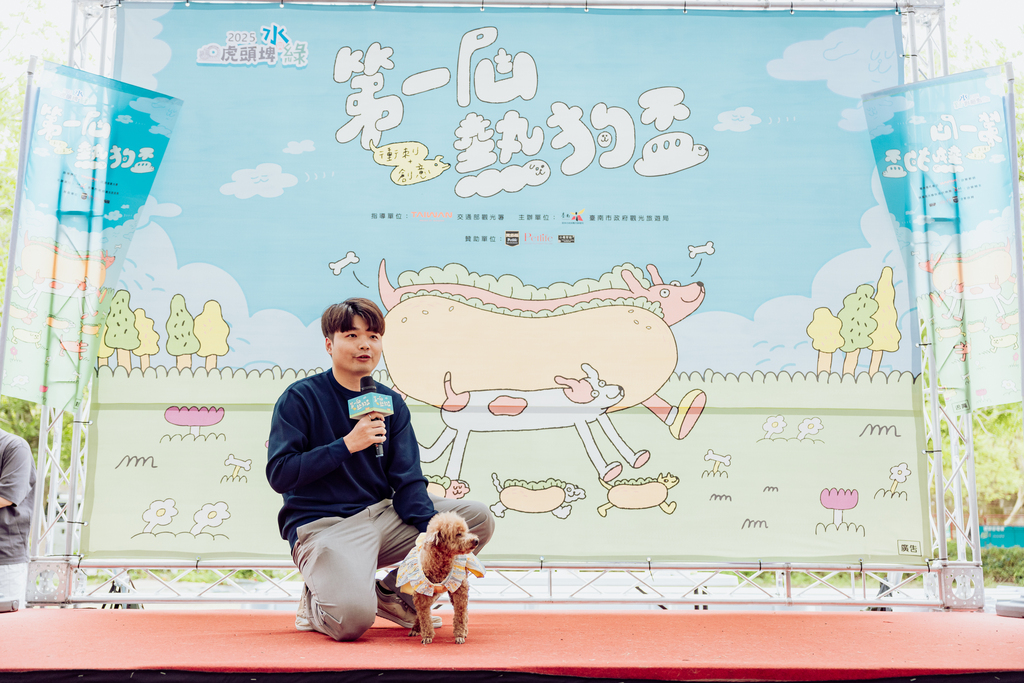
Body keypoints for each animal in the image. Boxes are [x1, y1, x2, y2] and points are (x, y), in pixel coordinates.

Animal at [396, 511, 484, 644]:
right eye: (458, 534)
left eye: (465, 531)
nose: (476, 540)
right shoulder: (422, 593)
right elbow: (424, 615)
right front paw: (427, 636)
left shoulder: (460, 590)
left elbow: (460, 613)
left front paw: (460, 634)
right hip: (433, 593)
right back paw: (416, 629)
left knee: (464, 611)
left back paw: (465, 631)